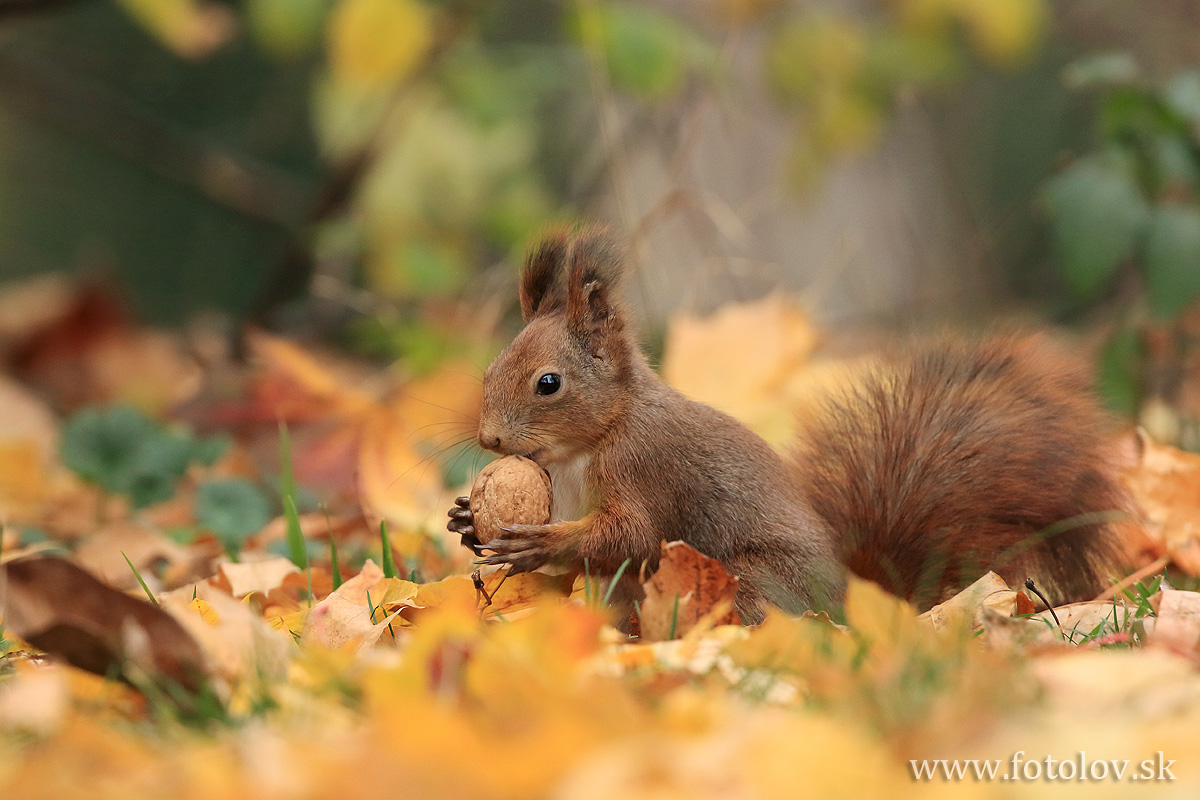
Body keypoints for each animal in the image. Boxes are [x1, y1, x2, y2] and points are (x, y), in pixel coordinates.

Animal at [446, 227, 1128, 623]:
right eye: (492, 367)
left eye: (549, 383)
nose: (490, 440)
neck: (585, 448)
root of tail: (854, 608)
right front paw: (464, 519)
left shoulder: (644, 470)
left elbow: (630, 536)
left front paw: (541, 544)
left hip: (748, 581)